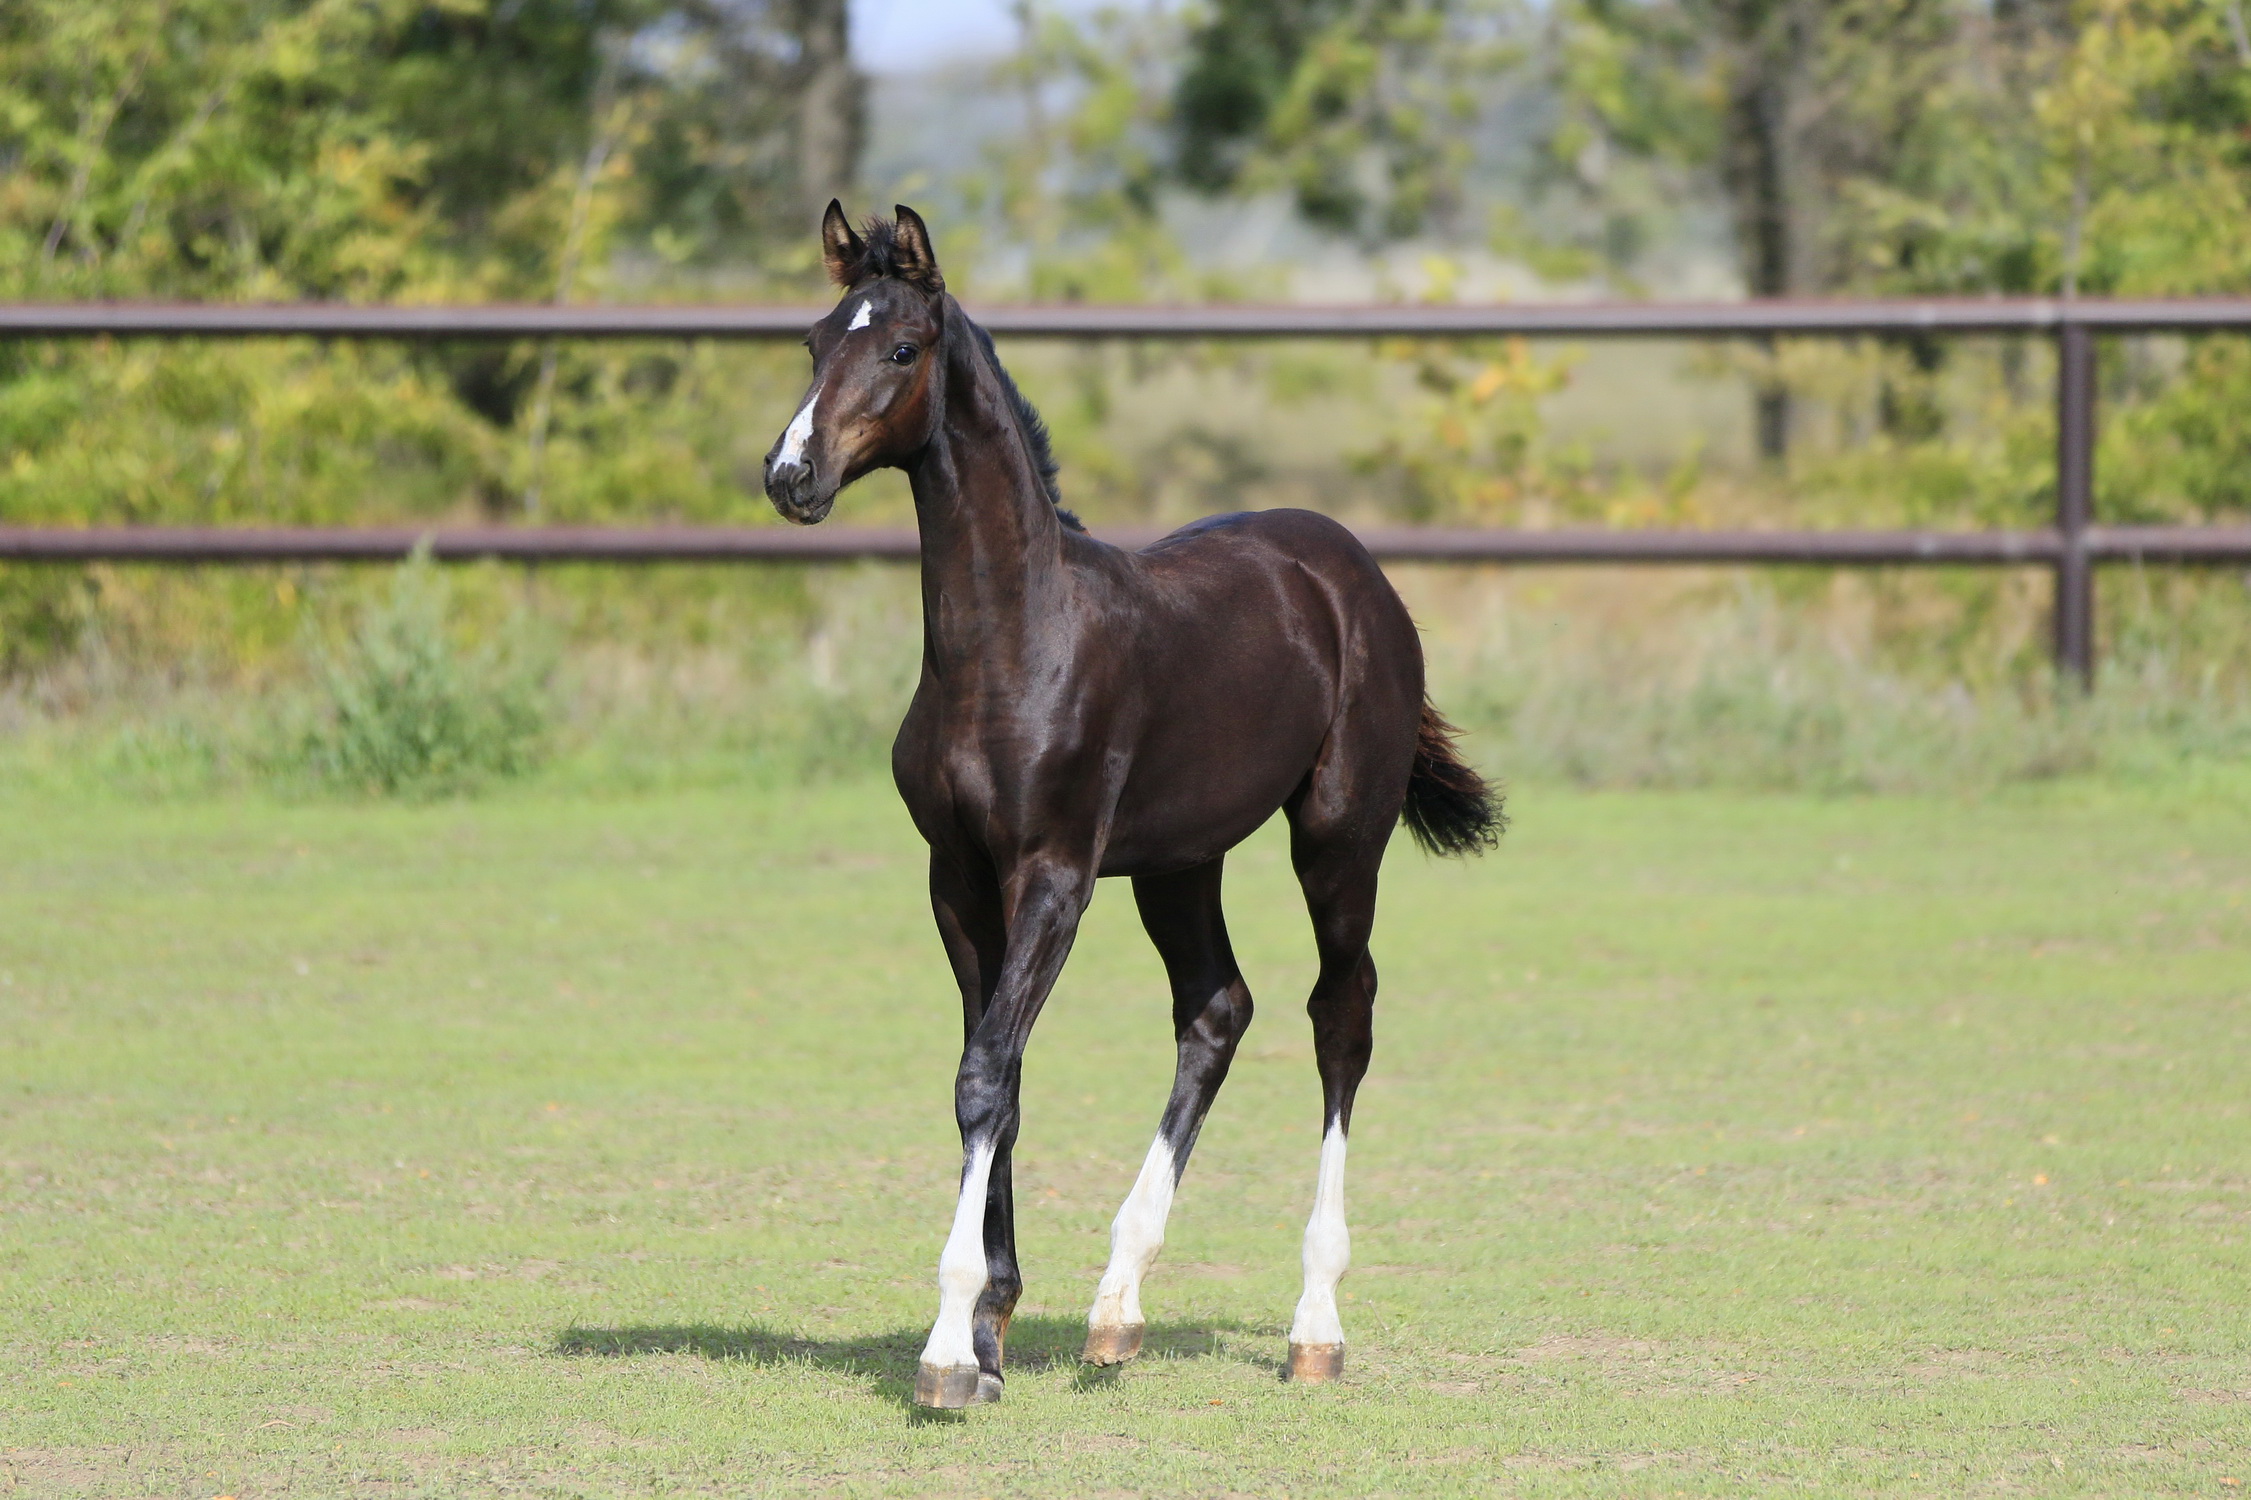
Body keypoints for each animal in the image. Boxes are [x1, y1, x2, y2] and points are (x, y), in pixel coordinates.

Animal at [760, 204, 1494, 1405]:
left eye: (903, 349)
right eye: (816, 342)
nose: (789, 474)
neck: (1013, 641)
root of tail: (1351, 569)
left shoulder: (1054, 877)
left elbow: (984, 1075)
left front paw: (948, 1350)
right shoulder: (958, 879)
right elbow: (995, 1075)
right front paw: (992, 1334)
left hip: (1339, 839)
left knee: (1340, 1017)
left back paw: (1314, 1326)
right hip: (1178, 860)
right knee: (1215, 1009)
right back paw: (1118, 1310)